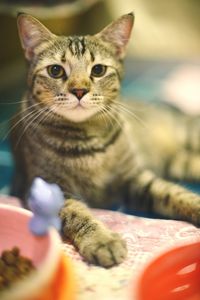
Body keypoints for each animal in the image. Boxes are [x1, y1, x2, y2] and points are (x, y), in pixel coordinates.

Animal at [11, 13, 200, 268]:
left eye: (98, 70)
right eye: (55, 71)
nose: (79, 90)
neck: (89, 141)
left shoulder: (134, 177)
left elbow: (173, 193)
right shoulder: (45, 189)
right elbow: (76, 212)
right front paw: (102, 240)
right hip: (178, 162)